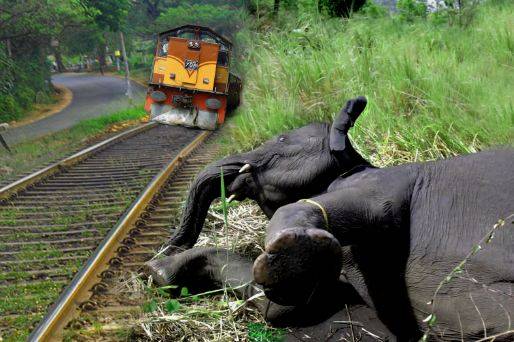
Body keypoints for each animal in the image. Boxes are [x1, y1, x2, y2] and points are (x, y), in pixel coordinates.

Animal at [146, 148, 510, 340]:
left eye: (274, 145)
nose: (164, 249)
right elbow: (298, 303)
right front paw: (161, 273)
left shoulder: (381, 184)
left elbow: (281, 306)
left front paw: (160, 271)